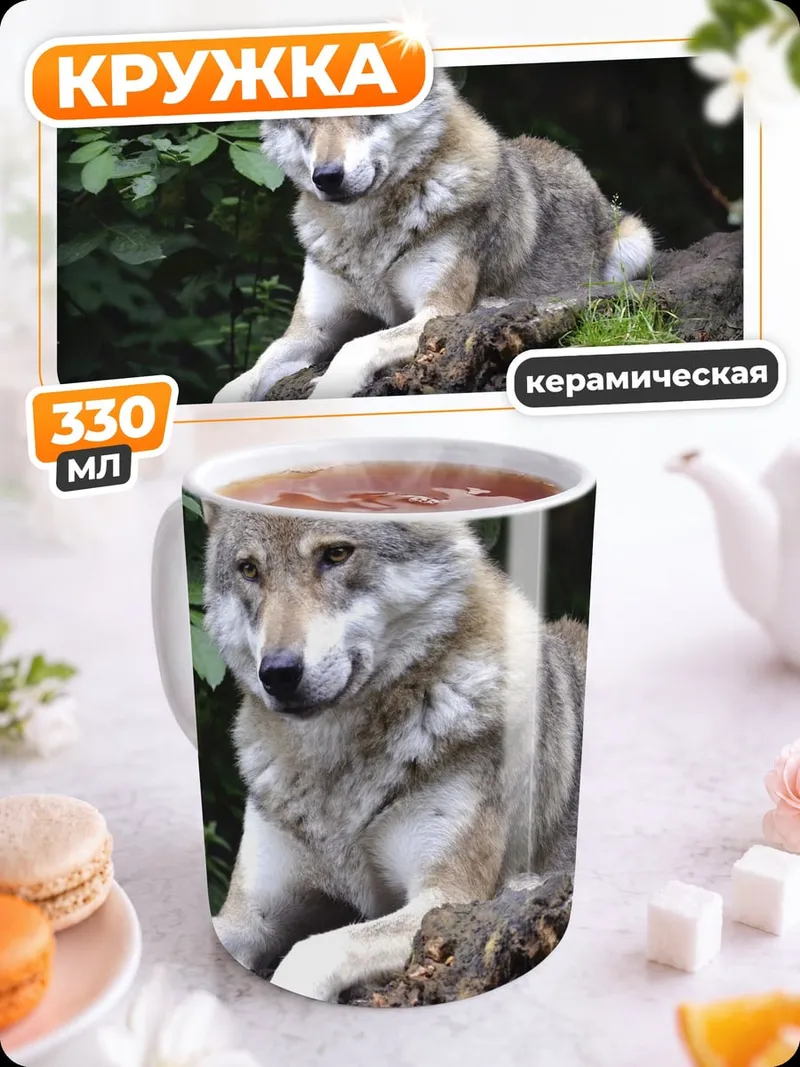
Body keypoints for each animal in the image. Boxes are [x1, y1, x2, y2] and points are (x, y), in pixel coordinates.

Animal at [204, 504, 587, 1003]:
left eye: (337, 554)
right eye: (249, 570)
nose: (279, 673)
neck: (336, 769)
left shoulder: (449, 899)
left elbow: (313, 952)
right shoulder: (249, 916)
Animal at [213, 69, 655, 404]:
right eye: (308, 119)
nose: (327, 177)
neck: (366, 233)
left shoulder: (435, 313)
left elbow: (355, 347)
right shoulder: (309, 332)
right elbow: (235, 385)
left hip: (636, 244)